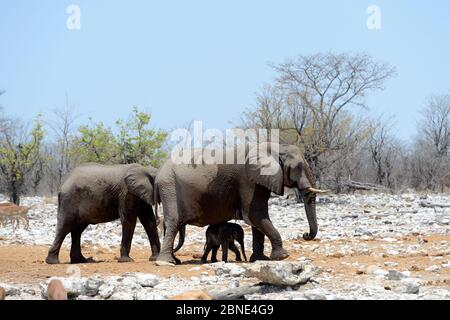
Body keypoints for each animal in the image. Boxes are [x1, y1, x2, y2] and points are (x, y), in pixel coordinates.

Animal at [155, 142, 324, 264]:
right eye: (299, 166)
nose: (305, 234)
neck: (275, 147)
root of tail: (159, 172)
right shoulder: (248, 181)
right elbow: (256, 215)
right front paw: (282, 257)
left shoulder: (258, 181)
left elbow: (257, 220)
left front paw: (260, 259)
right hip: (169, 187)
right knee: (173, 223)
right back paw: (165, 262)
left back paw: (175, 260)